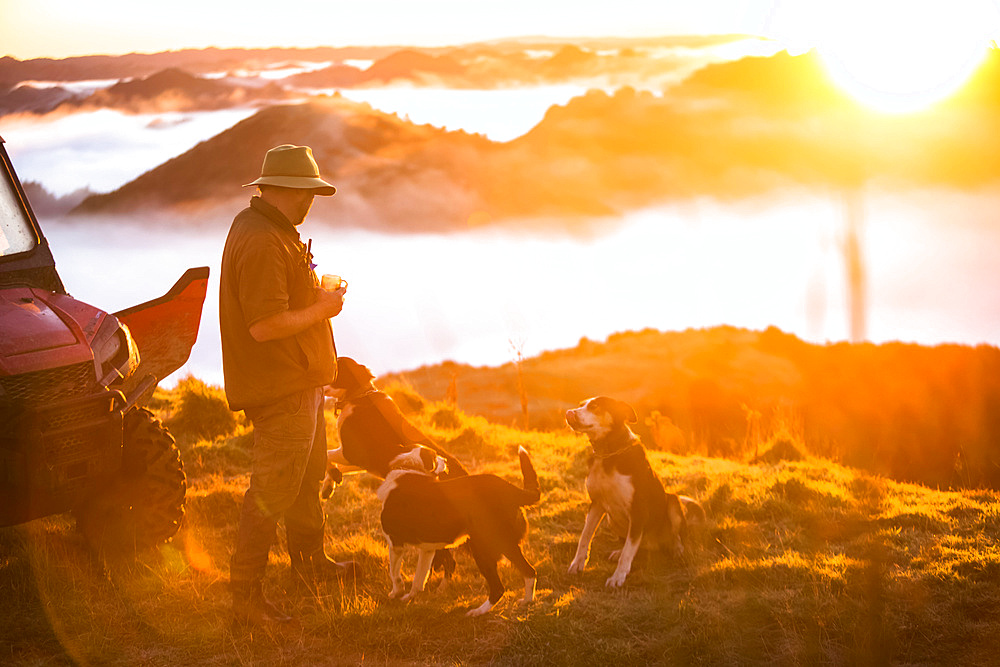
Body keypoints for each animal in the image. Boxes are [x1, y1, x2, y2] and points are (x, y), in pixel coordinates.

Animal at [376, 446, 540, 620]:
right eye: (436, 456)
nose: (445, 460)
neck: (410, 467)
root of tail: (511, 489)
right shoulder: (427, 550)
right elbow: (419, 580)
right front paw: (409, 598)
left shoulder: (395, 544)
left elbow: (395, 574)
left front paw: (396, 594)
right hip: (507, 545)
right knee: (529, 571)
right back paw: (527, 601)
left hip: (483, 548)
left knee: (498, 587)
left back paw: (478, 612)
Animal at [568, 400, 708, 588]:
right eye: (581, 404)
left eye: (595, 406)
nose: (569, 412)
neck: (609, 453)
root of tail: (654, 545)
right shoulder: (596, 504)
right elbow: (585, 536)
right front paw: (577, 564)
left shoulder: (638, 511)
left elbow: (628, 552)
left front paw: (617, 577)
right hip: (612, 519)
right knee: (634, 544)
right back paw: (619, 552)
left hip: (672, 501)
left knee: (674, 535)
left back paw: (677, 549)